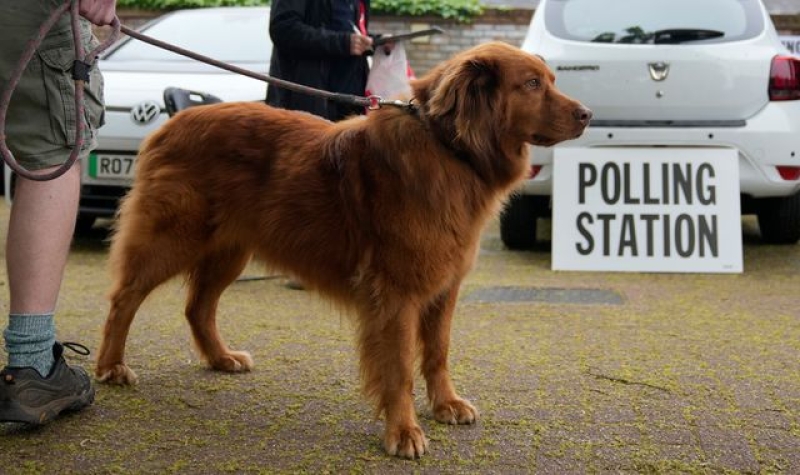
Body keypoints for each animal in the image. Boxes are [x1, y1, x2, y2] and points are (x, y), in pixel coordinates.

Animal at [97, 42, 592, 460]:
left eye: (550, 79)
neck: (449, 148)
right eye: (532, 84)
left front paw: (445, 404)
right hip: (172, 238)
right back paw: (111, 367)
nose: (587, 114)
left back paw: (221, 358)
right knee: (124, 299)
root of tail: (170, 123)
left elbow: (438, 352)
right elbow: (399, 367)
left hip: (230, 250)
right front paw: (404, 431)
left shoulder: (444, 286)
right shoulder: (396, 293)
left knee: (197, 307)